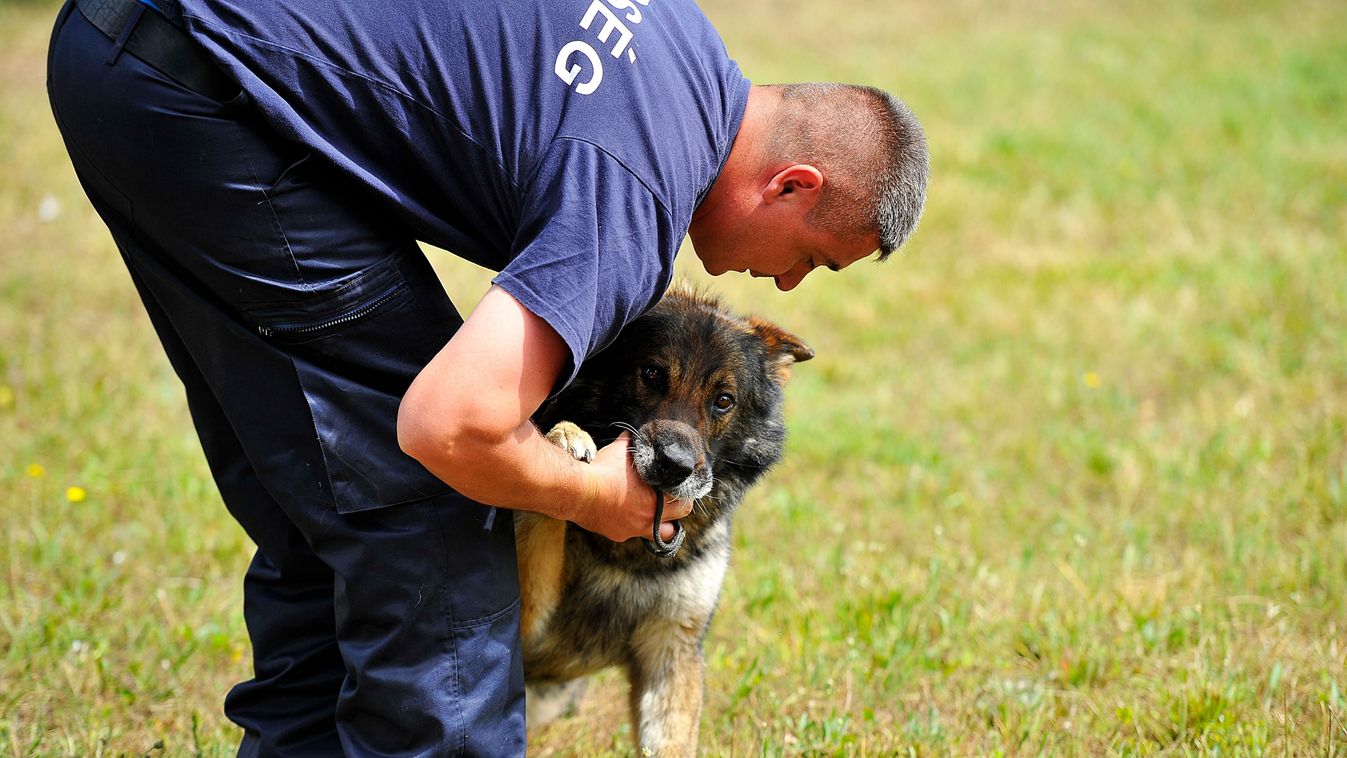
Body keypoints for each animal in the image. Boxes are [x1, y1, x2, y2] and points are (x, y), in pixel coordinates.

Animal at [511, 288, 808, 753]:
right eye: (651, 374)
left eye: (724, 400)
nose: (674, 466)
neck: (631, 555)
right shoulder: (529, 617)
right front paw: (566, 436)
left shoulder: (674, 649)